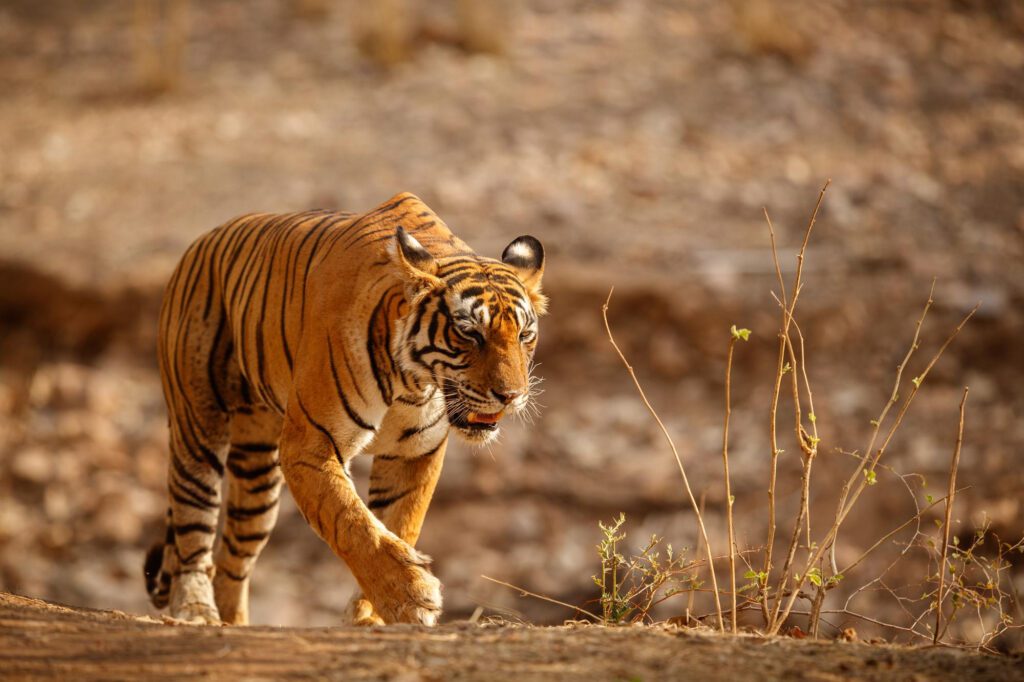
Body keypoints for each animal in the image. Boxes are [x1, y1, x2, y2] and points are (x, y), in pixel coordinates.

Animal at [144, 189, 548, 622]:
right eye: (469, 333)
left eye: (524, 335)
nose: (511, 396)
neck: (413, 382)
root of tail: (203, 241)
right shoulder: (310, 445)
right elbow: (351, 520)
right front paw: (410, 596)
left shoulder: (414, 453)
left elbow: (400, 522)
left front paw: (371, 614)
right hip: (198, 428)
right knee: (193, 526)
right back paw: (194, 610)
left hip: (257, 470)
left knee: (233, 561)